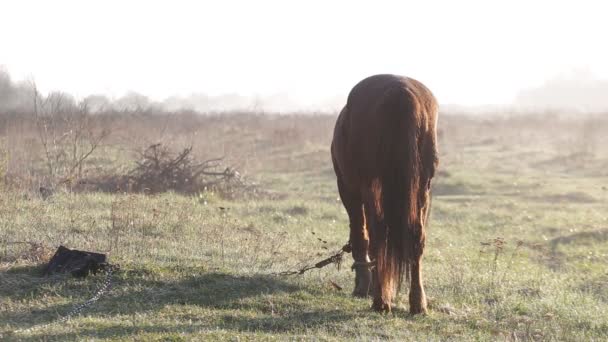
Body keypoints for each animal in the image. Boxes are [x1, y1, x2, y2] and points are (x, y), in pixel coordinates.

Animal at [332, 73, 436, 314]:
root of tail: (401, 92)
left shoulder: (348, 189)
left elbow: (360, 235)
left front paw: (363, 285)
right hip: (422, 186)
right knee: (416, 238)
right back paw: (417, 303)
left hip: (370, 185)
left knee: (377, 234)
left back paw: (380, 300)